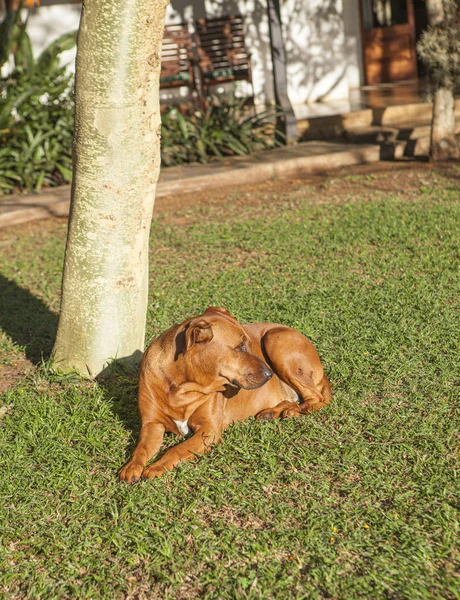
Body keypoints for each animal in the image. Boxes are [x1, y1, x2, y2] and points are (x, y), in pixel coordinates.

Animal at [120, 308, 332, 480]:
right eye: (240, 347)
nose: (269, 374)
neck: (181, 385)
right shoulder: (152, 424)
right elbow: (142, 448)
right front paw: (131, 466)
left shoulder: (208, 431)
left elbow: (177, 449)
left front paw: (157, 466)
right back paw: (273, 412)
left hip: (275, 340)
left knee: (318, 398)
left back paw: (296, 410)